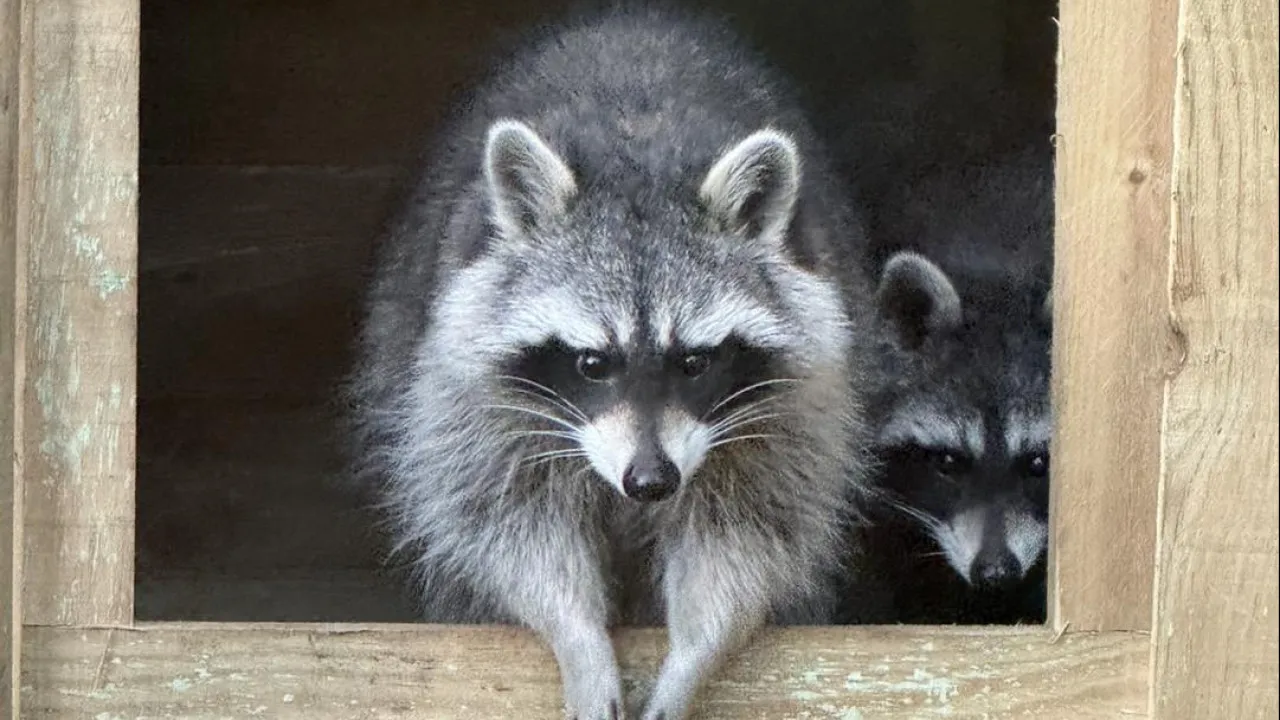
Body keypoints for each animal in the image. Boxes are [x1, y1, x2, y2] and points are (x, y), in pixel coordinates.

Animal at [340, 4, 880, 712]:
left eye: (695, 362)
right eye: (593, 364)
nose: (651, 482)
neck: (638, 152)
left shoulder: (798, 404)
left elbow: (749, 532)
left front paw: (693, 656)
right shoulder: (466, 388)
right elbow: (504, 519)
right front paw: (579, 640)